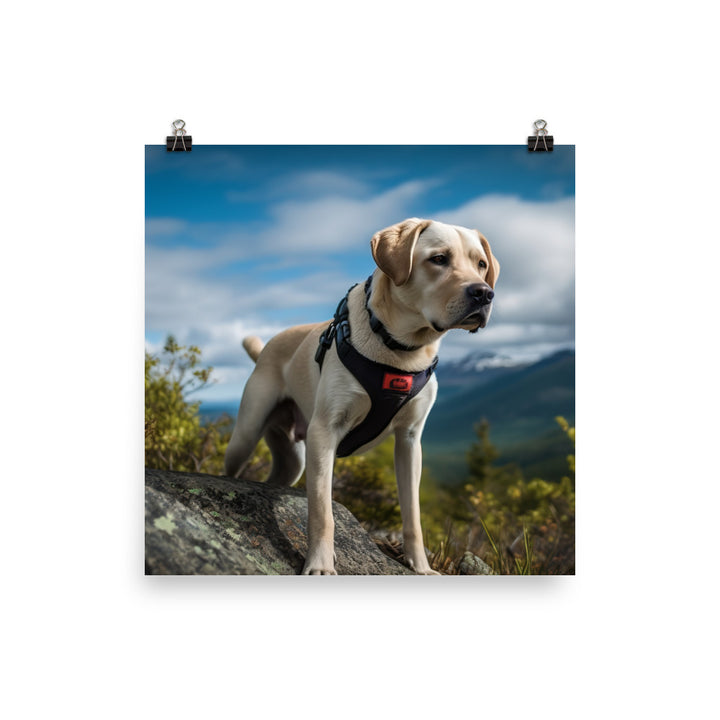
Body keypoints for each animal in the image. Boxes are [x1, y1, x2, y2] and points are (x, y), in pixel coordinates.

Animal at [225, 218, 500, 572]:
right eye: (439, 259)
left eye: (481, 265)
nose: (484, 293)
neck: (401, 348)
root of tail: (266, 347)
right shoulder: (325, 431)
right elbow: (322, 512)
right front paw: (320, 563)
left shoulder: (410, 441)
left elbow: (413, 515)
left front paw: (421, 566)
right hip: (246, 436)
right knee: (232, 468)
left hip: (293, 460)